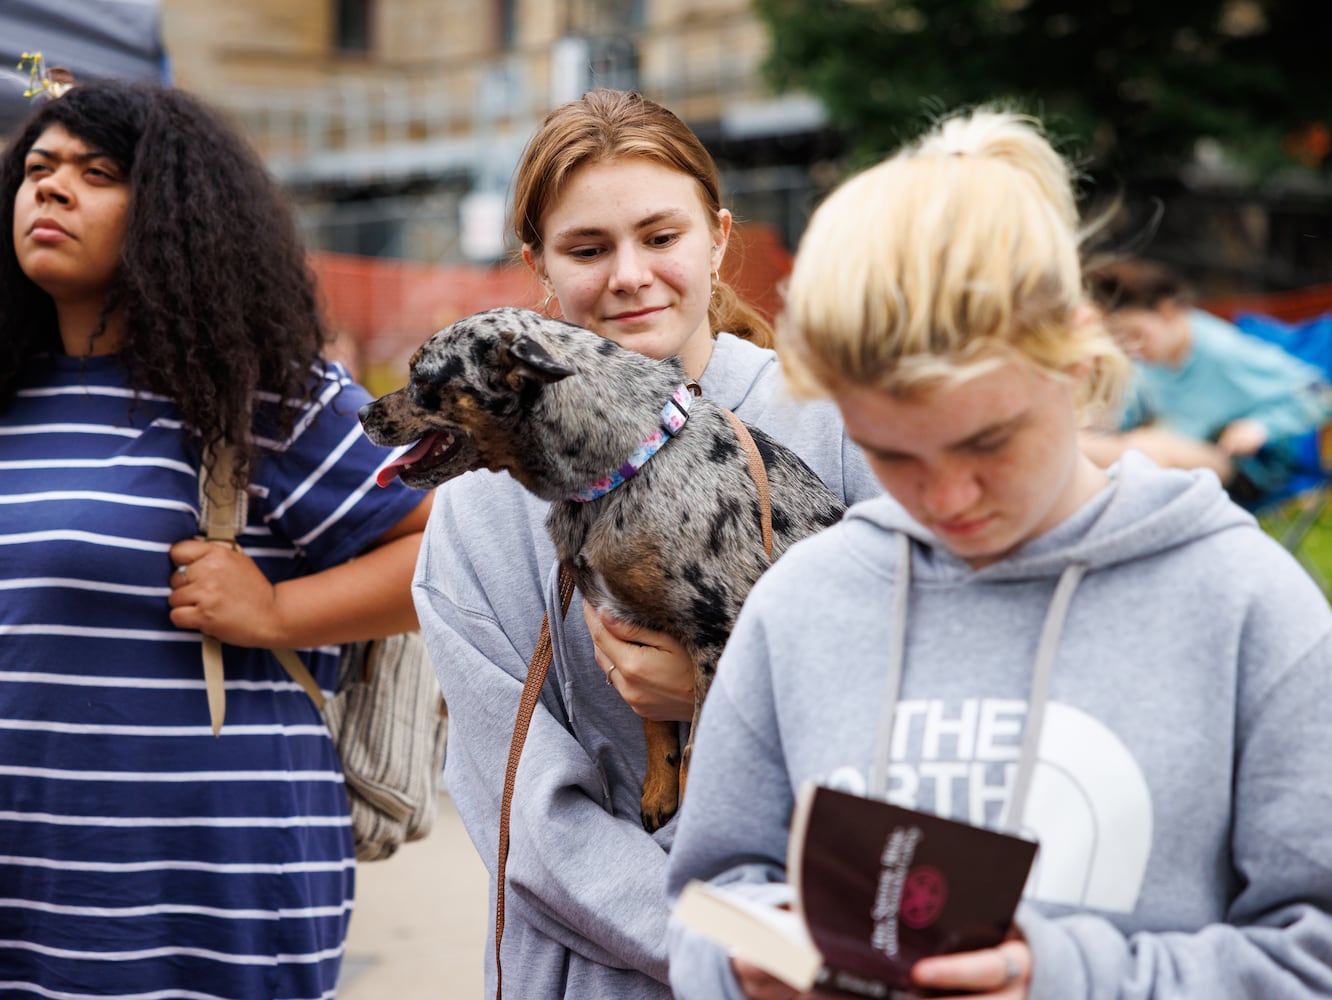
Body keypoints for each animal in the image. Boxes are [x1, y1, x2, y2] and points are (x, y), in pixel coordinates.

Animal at [362, 304, 841, 830]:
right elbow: (656, 726)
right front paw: (658, 792)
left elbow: (695, 753)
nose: (362, 413)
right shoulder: (637, 621)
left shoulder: (719, 635)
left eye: (419, 377)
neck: (632, 467)